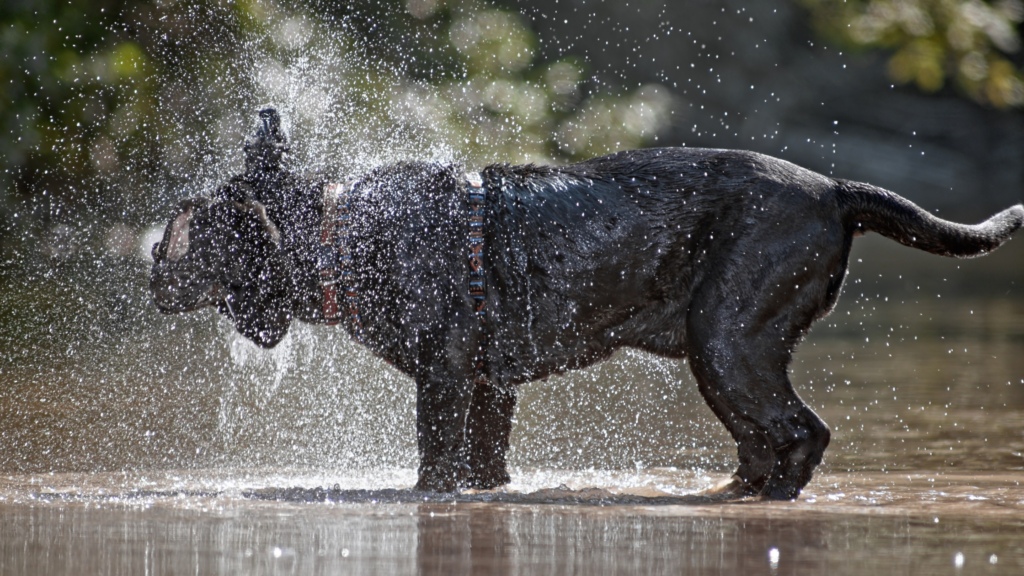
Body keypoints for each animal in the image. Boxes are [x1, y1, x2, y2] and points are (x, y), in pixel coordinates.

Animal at [151, 108, 1024, 498]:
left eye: (191, 226)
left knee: (800, 432)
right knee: (763, 440)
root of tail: (838, 190)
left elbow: (435, 466)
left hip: (729, 341)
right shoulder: (489, 387)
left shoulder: (443, 379)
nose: (152, 258)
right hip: (727, 354)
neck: (343, 234)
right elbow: (486, 465)